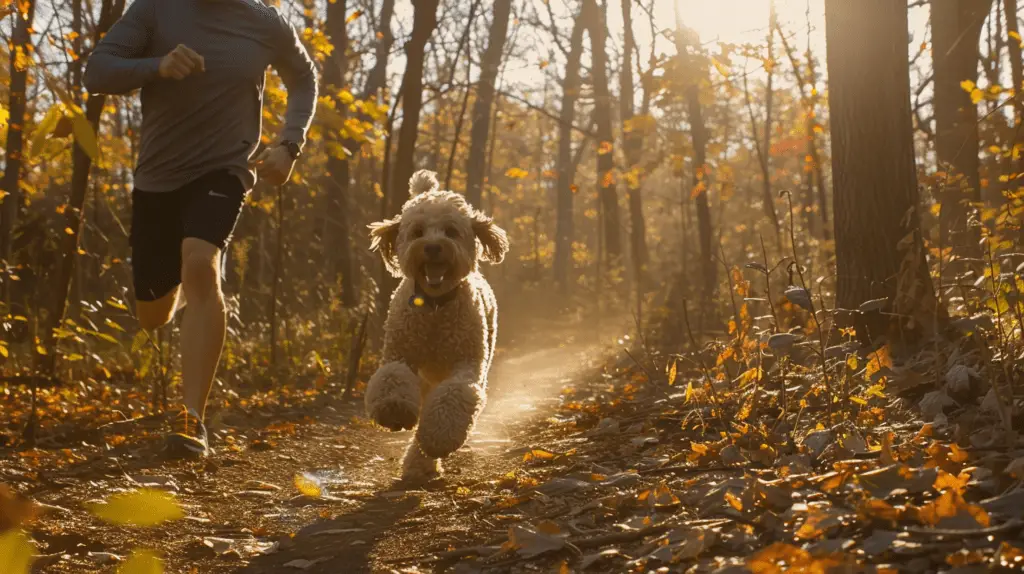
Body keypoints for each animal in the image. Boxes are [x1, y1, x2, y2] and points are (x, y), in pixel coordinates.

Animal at [370, 167, 509, 480]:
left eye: (451, 231)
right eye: (417, 232)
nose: (433, 247)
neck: (434, 309)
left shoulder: (467, 366)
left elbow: (454, 395)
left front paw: (438, 437)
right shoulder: (399, 354)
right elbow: (392, 375)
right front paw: (394, 410)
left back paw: (420, 462)